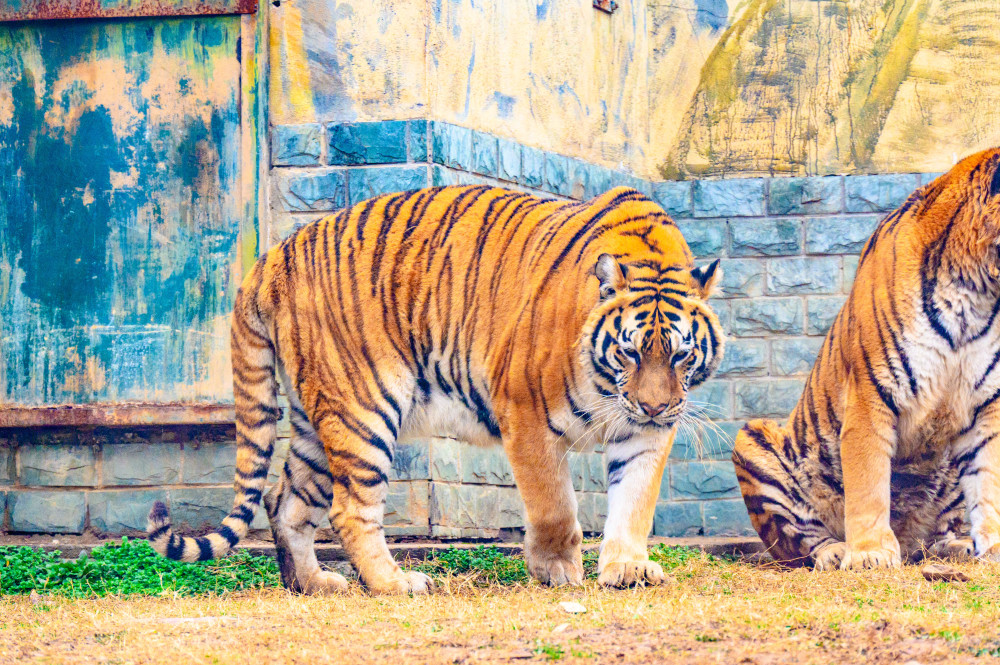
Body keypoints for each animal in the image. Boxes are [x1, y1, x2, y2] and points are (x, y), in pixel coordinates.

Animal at [145, 185, 726, 594]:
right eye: (630, 352)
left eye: (680, 354)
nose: (654, 405)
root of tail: (269, 260)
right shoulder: (526, 415)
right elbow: (554, 507)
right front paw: (558, 570)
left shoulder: (648, 434)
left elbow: (635, 502)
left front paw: (628, 568)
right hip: (363, 408)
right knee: (348, 510)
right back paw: (395, 583)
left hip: (315, 420)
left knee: (283, 501)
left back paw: (314, 584)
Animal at [732, 148, 1000, 570]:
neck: (976, 294)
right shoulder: (872, 395)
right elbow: (869, 484)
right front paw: (871, 553)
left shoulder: (986, 406)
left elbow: (988, 482)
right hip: (752, 440)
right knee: (800, 543)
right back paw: (837, 552)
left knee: (937, 533)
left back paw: (955, 546)